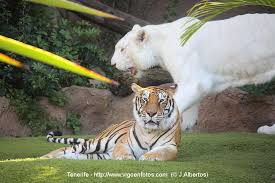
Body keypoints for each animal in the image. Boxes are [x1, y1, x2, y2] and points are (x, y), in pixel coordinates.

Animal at [41, 83, 181, 161]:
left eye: (161, 101)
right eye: (144, 100)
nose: (151, 113)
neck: (150, 131)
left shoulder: (170, 146)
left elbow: (161, 152)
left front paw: (147, 157)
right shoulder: (123, 142)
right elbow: (122, 151)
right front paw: (126, 158)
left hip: (98, 154)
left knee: (75, 155)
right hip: (98, 143)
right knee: (64, 148)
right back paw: (40, 159)